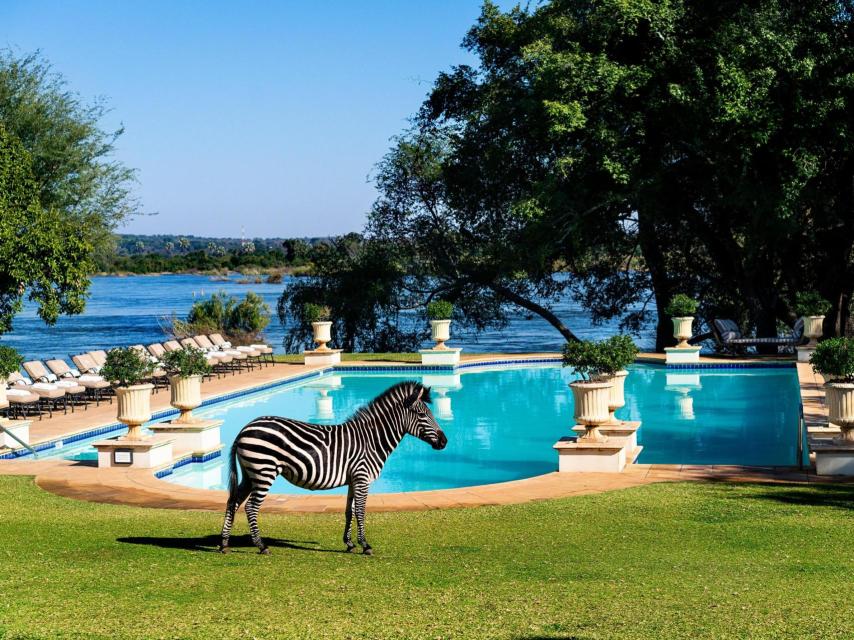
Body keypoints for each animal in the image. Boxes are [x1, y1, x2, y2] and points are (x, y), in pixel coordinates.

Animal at [219, 380, 447, 555]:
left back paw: (224, 544)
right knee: (251, 506)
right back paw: (261, 545)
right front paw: (365, 545)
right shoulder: (362, 477)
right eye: (423, 415)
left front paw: (349, 543)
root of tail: (245, 428)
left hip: (250, 474)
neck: (372, 440)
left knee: (233, 502)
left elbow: (350, 510)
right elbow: (361, 511)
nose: (444, 442)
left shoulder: (354, 479)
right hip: (264, 471)